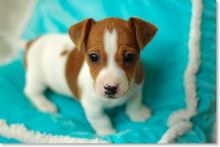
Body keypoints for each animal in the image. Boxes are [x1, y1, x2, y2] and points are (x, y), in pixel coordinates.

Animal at [24, 17, 157, 136]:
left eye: (129, 57)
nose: (110, 88)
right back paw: (44, 104)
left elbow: (135, 102)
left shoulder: (137, 87)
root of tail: (31, 42)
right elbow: (101, 120)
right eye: (93, 57)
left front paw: (138, 114)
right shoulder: (92, 107)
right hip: (37, 77)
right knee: (31, 91)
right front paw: (107, 133)